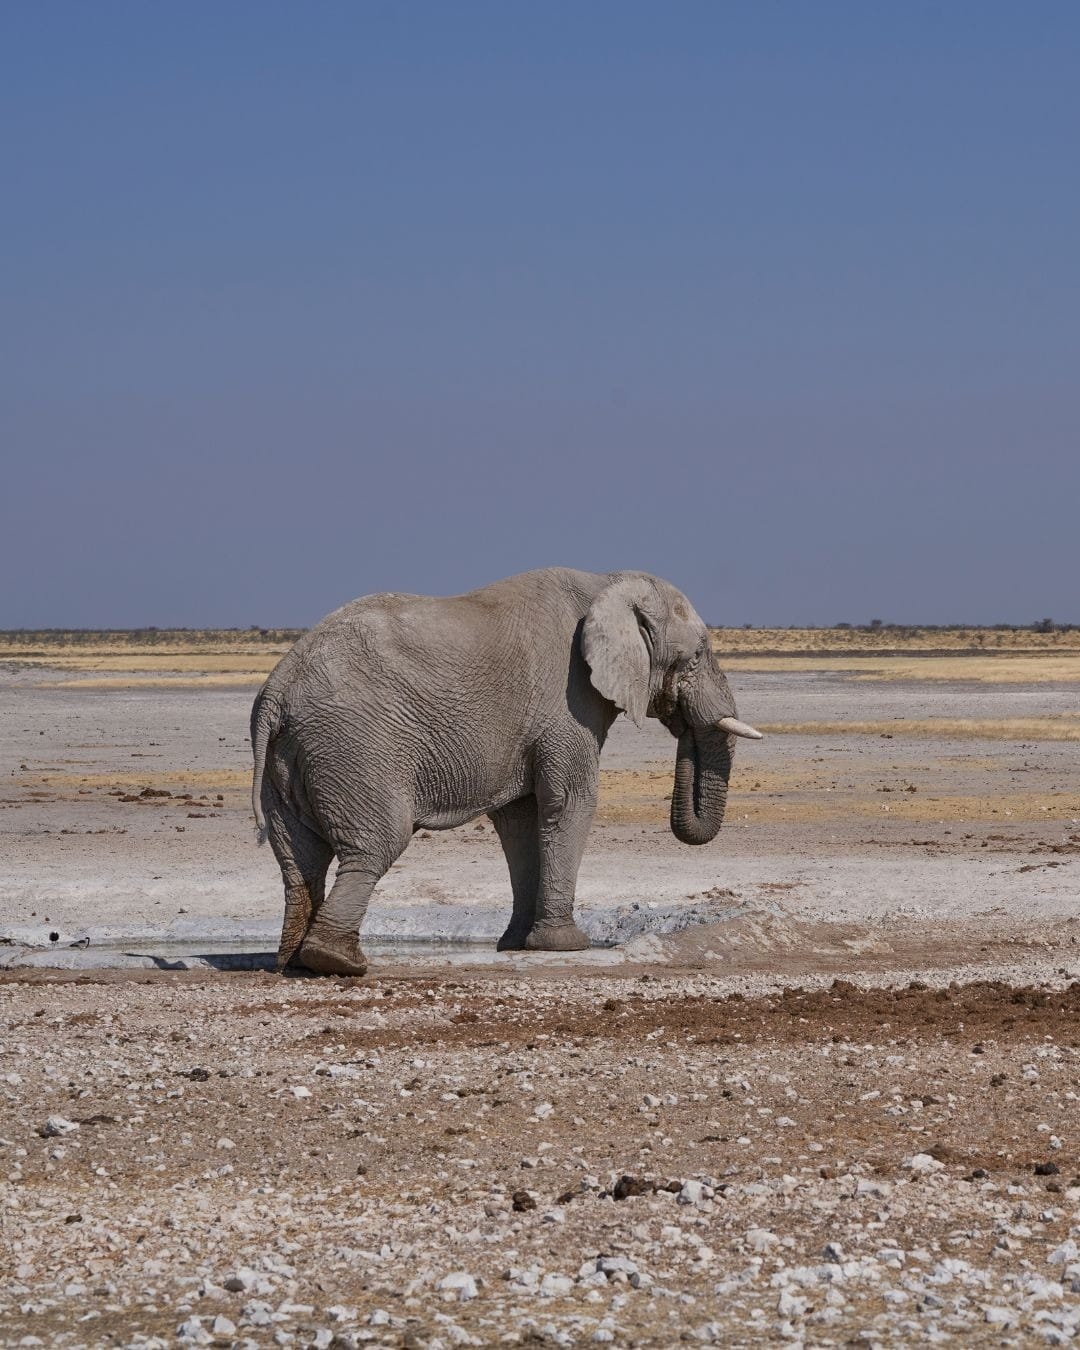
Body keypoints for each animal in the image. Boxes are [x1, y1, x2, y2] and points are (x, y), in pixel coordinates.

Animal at [250, 567, 762, 976]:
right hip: (354, 747)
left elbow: (520, 819)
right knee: (377, 843)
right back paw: (340, 962)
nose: (682, 717)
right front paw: (566, 946)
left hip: (291, 756)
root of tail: (278, 687)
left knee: (299, 860)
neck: (607, 582)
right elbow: (571, 801)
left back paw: (293, 964)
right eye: (696, 656)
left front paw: (516, 945)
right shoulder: (567, 702)